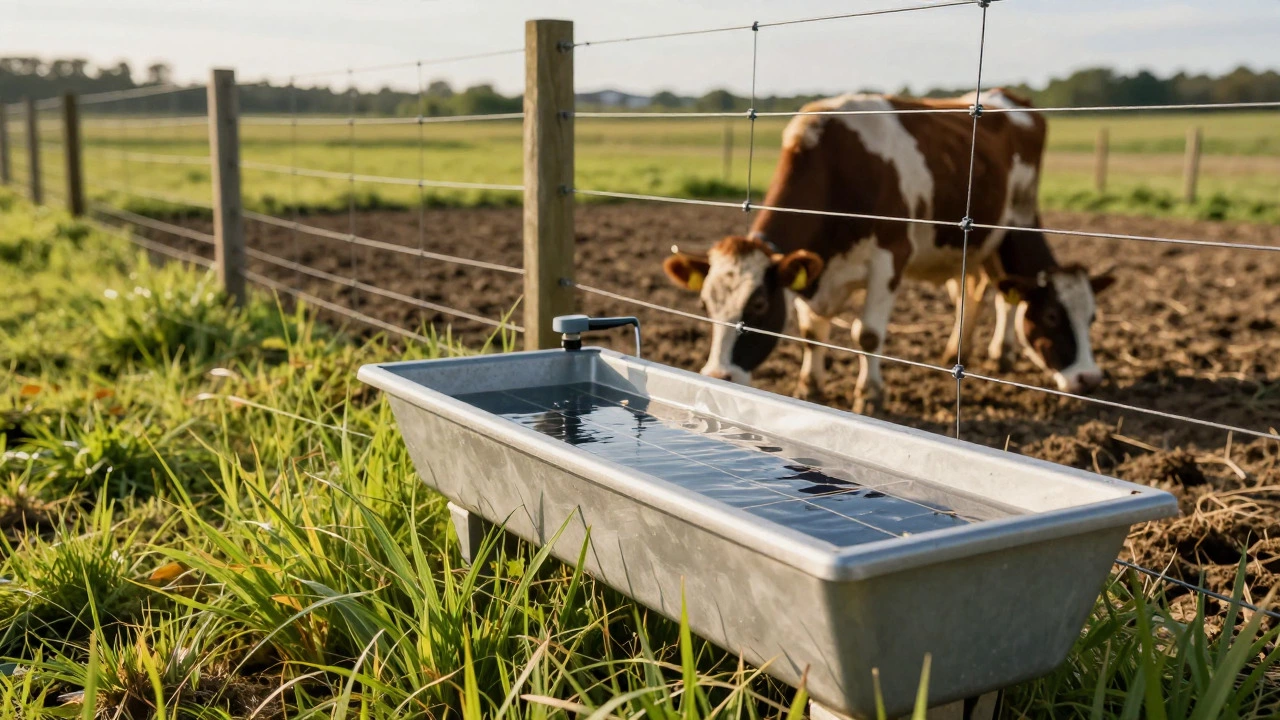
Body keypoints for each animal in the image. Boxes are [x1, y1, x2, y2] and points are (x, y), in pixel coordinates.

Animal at [662, 89, 1114, 413]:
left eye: (757, 306)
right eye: (705, 306)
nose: (719, 375)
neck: (836, 168)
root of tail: (1008, 97)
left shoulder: (889, 258)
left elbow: (868, 335)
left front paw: (869, 395)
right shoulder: (816, 270)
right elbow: (811, 335)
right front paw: (810, 386)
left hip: (1010, 220)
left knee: (999, 292)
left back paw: (996, 354)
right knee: (982, 291)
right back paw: (961, 351)